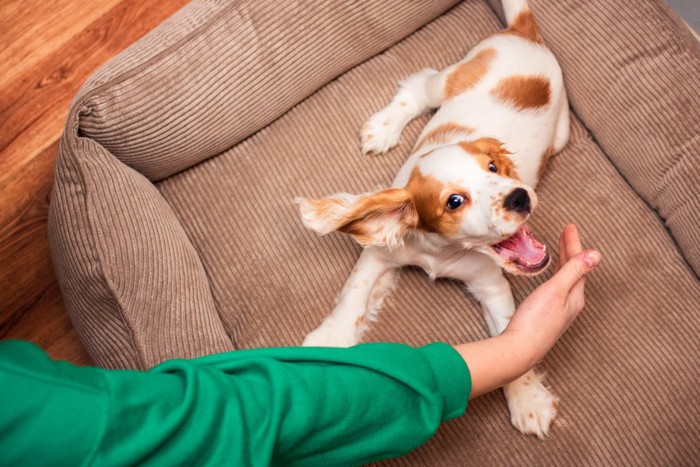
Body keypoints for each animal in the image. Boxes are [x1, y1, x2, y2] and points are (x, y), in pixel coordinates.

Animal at [294, 0, 568, 438]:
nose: (520, 195)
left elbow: (514, 339)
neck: (444, 253)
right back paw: (383, 128)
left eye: (494, 168)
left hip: (559, 135)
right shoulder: (381, 254)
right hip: (448, 81)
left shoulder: (491, 285)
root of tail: (523, 32)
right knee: (417, 86)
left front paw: (528, 399)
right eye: (454, 201)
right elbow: (354, 296)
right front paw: (330, 341)